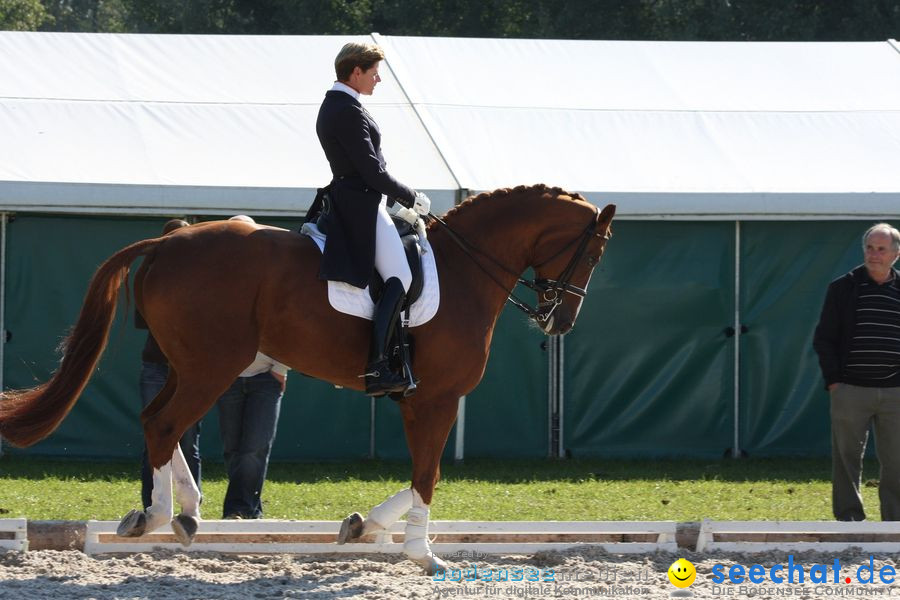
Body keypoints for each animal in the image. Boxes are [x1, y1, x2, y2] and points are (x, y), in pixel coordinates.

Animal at [0, 185, 612, 576]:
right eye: (594, 252)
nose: (561, 321)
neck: (464, 270)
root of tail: (169, 239)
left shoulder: (419, 401)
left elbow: (420, 474)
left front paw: (363, 527)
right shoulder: (435, 399)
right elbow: (429, 474)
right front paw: (422, 554)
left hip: (189, 365)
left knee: (157, 421)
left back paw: (181, 514)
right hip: (211, 368)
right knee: (165, 424)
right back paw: (163, 516)